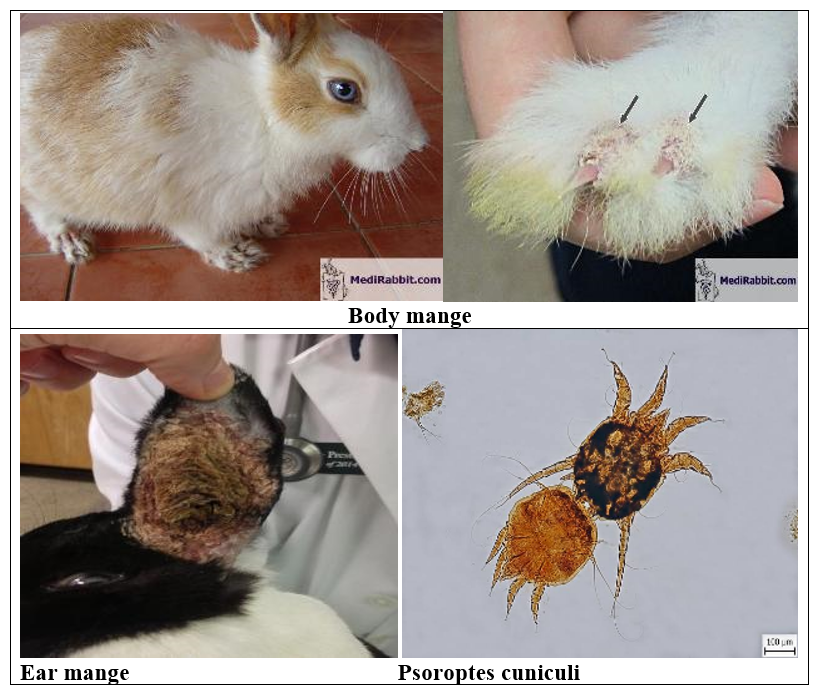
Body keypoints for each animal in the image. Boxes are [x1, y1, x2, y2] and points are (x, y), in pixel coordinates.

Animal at [20, 13, 428, 272]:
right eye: (344, 90)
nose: (418, 144)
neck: (267, 118)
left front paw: (269, 225)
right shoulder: (192, 207)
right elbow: (201, 238)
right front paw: (239, 257)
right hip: (49, 186)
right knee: (41, 211)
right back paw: (72, 240)